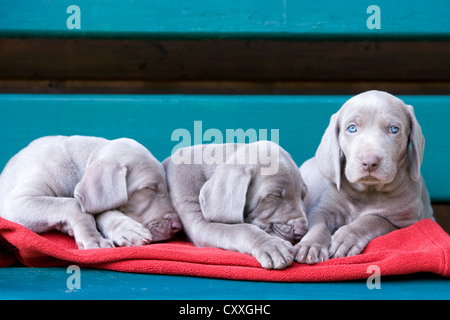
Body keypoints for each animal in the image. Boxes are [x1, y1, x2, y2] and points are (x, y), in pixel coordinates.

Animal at [0, 134, 183, 248]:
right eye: (150, 188)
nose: (178, 226)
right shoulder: (17, 203)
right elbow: (72, 205)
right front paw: (94, 238)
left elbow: (96, 209)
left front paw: (125, 228)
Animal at [163, 141, 308, 268]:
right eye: (274, 196)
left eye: (303, 195)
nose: (302, 232)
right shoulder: (199, 223)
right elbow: (241, 229)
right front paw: (271, 245)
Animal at [296, 90, 432, 264]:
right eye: (352, 128)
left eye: (394, 129)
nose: (369, 162)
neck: (368, 191)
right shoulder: (321, 209)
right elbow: (318, 226)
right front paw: (310, 245)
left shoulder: (405, 223)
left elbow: (372, 220)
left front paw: (346, 237)